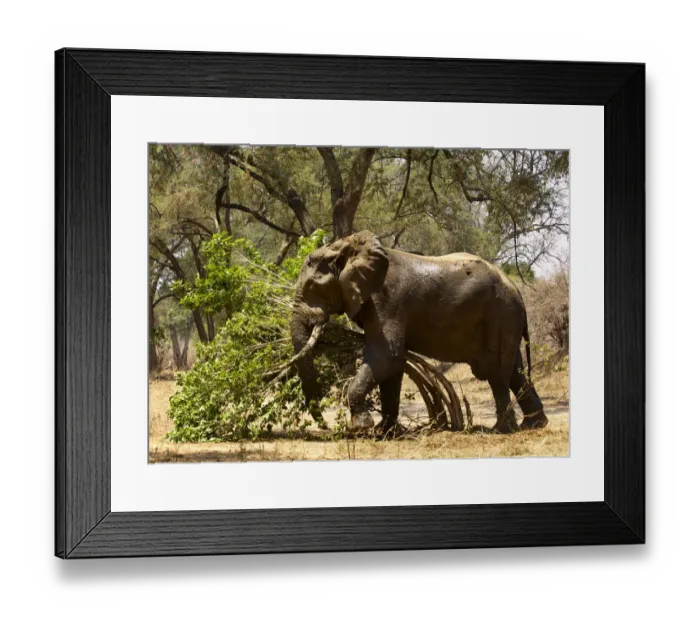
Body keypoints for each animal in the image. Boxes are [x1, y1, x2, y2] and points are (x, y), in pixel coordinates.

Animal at [290, 230, 548, 435]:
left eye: (312, 287)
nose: (325, 426)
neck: (348, 246)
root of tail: (517, 291)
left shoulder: (387, 301)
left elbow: (387, 356)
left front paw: (361, 427)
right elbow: (393, 366)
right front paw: (386, 431)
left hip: (501, 315)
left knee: (497, 373)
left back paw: (501, 430)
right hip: (507, 319)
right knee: (515, 372)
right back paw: (533, 425)